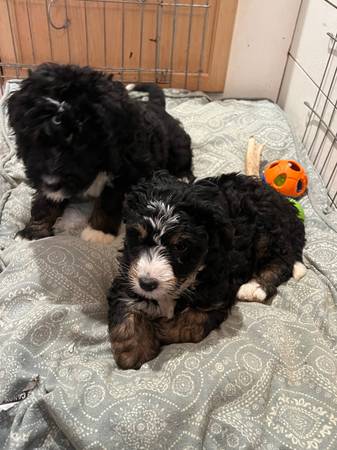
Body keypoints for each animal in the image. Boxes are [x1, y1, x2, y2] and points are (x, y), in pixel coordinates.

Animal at [7, 63, 192, 243]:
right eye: (36, 139)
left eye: (82, 143)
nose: (51, 182)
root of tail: (155, 105)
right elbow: (46, 200)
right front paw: (34, 231)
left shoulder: (127, 170)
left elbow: (109, 199)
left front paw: (99, 231)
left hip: (177, 141)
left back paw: (182, 177)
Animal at [107, 171, 304, 368]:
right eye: (137, 236)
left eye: (181, 246)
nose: (147, 284)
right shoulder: (127, 273)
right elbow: (125, 308)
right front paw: (132, 352)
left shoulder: (217, 294)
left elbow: (193, 322)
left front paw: (161, 329)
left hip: (268, 231)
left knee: (283, 260)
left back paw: (254, 287)